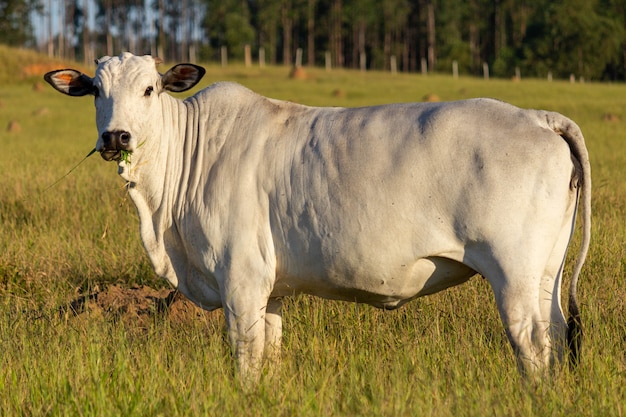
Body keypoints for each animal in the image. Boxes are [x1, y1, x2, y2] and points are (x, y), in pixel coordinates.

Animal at [45, 52, 588, 380]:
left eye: (150, 89)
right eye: (96, 91)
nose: (116, 137)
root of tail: (539, 117)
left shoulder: (241, 280)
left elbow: (246, 361)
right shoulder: (270, 291)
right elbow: (269, 358)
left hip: (513, 274)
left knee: (532, 344)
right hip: (546, 275)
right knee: (557, 338)